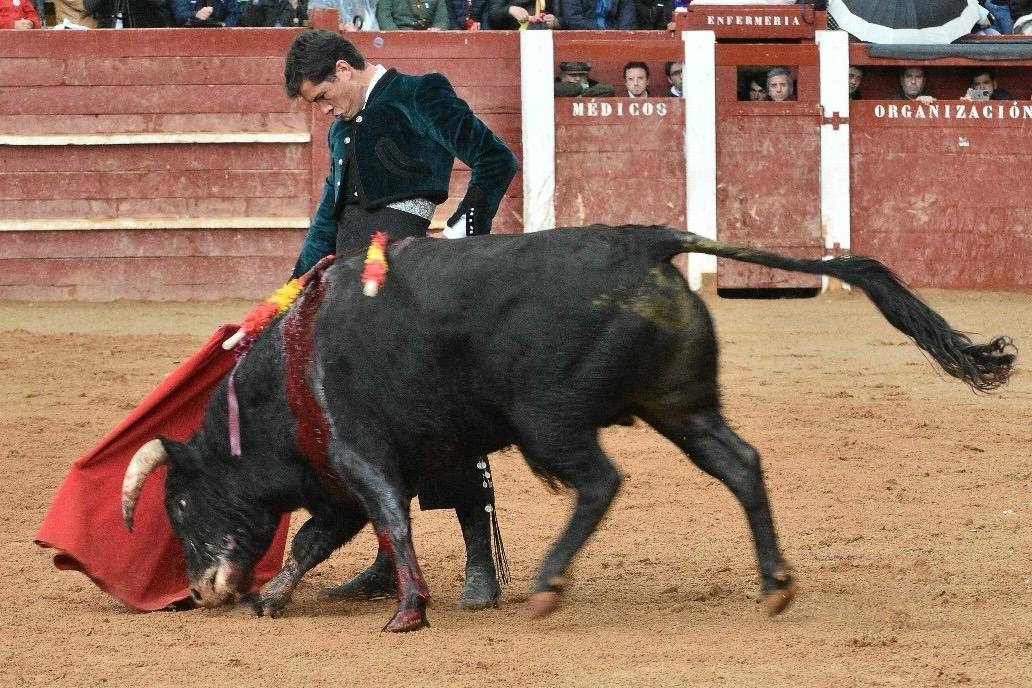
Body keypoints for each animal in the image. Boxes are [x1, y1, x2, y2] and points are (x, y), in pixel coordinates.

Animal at [118, 224, 1007, 631]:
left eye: (181, 506)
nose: (205, 587)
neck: (286, 375)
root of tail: (647, 240)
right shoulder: (336, 479)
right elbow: (314, 538)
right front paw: (275, 595)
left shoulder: (360, 458)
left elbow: (389, 525)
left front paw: (407, 612)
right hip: (679, 407)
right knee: (741, 463)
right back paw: (773, 583)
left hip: (550, 423)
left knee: (601, 482)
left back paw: (547, 583)